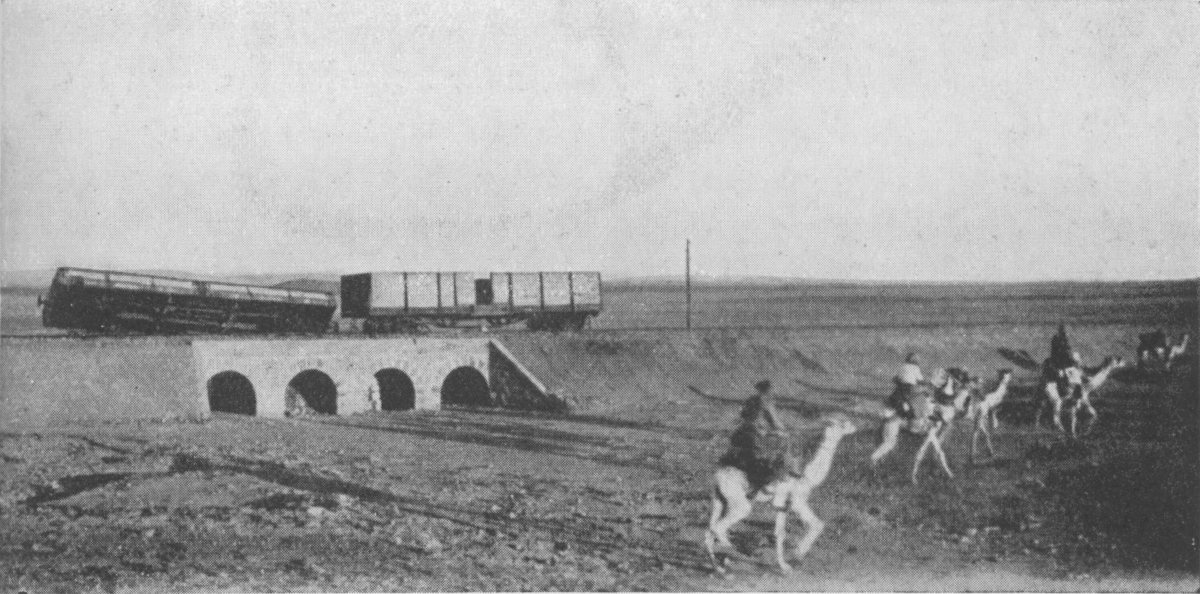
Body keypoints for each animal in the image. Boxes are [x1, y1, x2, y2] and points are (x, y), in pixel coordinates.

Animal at [700, 412, 864, 576]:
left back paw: (719, 569)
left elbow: (780, 533)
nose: (855, 426)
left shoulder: (782, 505)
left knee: (709, 532)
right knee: (718, 528)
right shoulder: (797, 501)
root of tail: (718, 476)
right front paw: (797, 554)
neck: (807, 474)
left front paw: (784, 567)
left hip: (720, 501)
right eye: (843, 423)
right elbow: (817, 524)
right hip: (739, 504)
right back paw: (733, 552)